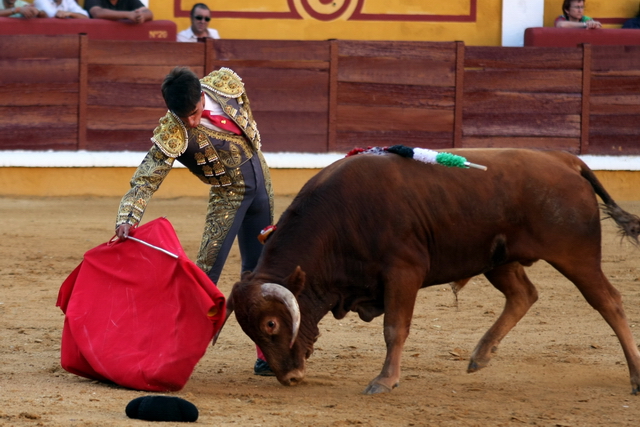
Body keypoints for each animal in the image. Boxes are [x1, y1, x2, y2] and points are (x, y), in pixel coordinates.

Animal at [219, 149, 640, 396]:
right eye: (251, 330)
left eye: (271, 324)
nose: (289, 377)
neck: (339, 220)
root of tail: (567, 160)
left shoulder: (403, 273)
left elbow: (395, 328)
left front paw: (384, 381)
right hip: (496, 259)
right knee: (524, 294)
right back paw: (480, 356)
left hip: (576, 256)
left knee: (609, 302)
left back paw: (636, 377)